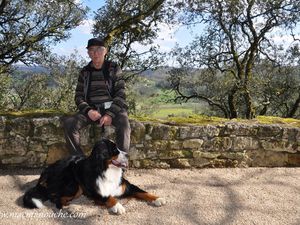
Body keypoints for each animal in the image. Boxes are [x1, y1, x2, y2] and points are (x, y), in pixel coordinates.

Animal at [22, 139, 166, 214]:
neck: (106, 169)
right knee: (56, 199)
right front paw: (118, 206)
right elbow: (109, 197)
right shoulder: (96, 192)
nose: (128, 155)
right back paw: (71, 208)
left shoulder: (126, 186)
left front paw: (157, 198)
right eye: (114, 150)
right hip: (74, 185)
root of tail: (45, 172)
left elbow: (143, 191)